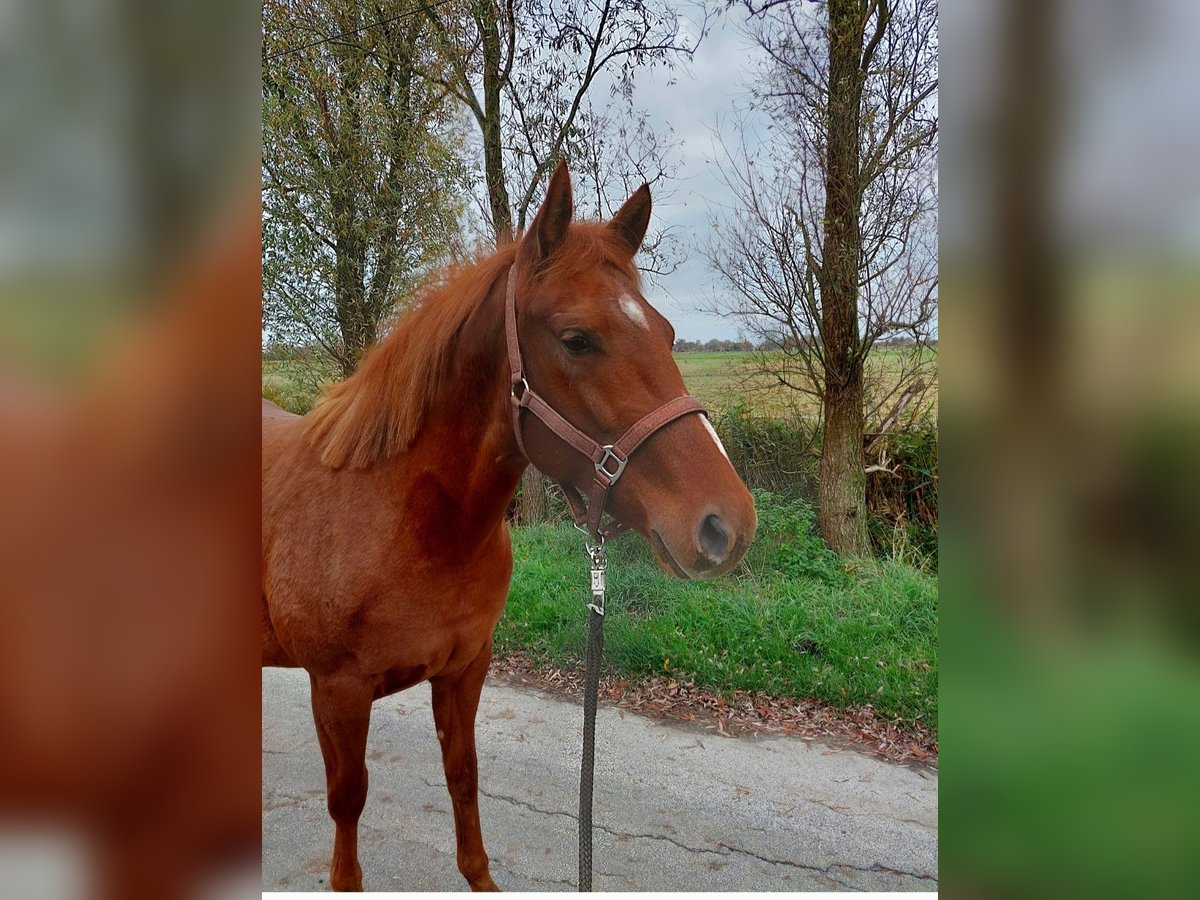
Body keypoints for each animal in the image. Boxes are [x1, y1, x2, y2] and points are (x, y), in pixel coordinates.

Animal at [261, 164, 753, 897]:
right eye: (576, 339)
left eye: (668, 334)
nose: (727, 524)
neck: (404, 520)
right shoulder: (338, 691)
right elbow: (348, 803)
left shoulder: (465, 670)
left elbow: (464, 779)